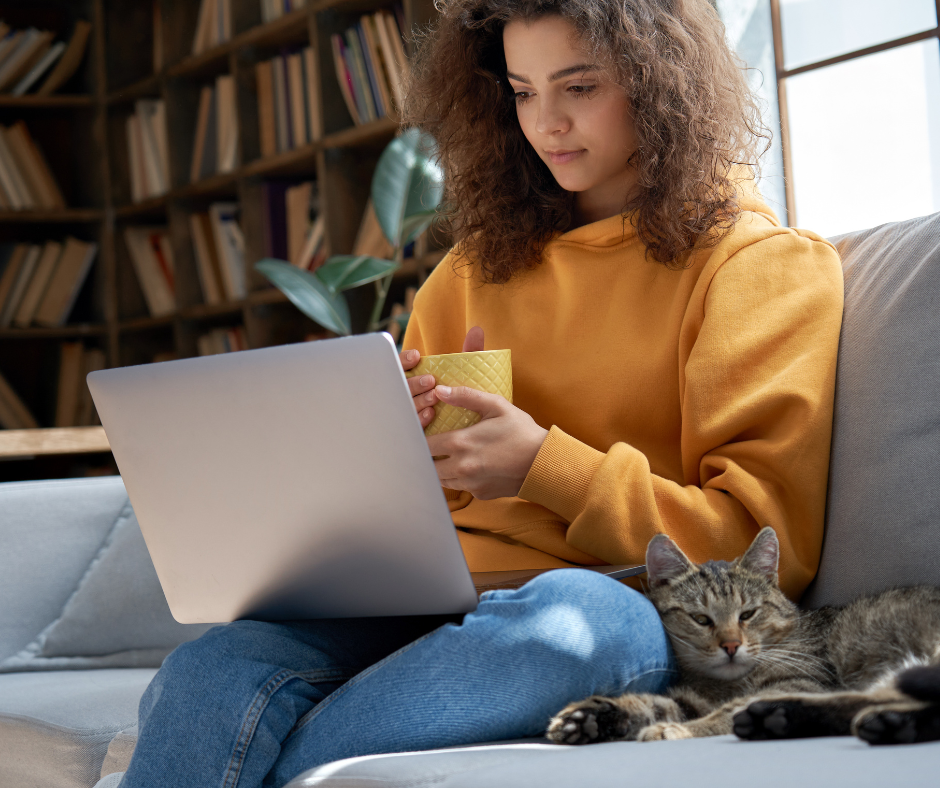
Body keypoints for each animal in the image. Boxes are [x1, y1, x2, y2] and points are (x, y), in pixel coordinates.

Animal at [548, 528, 940, 744]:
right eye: (701, 619)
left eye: (747, 614)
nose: (731, 645)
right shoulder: (692, 698)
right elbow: (656, 704)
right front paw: (593, 717)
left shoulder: (802, 680)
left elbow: (727, 711)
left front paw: (675, 731)